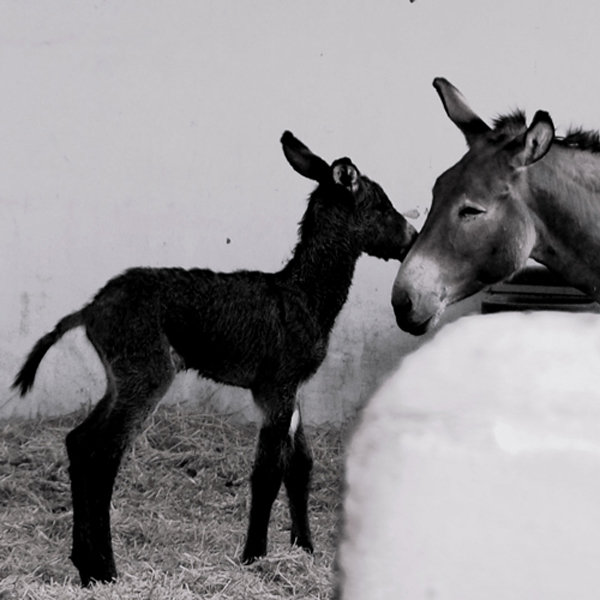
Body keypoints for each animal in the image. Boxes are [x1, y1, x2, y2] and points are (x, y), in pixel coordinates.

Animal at [14, 131, 418, 584]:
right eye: (381, 205)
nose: (412, 236)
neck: (303, 295)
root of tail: (91, 308)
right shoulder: (276, 387)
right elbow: (268, 472)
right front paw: (255, 556)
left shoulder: (289, 389)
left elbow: (300, 465)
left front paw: (304, 548)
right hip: (148, 373)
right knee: (103, 454)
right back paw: (105, 568)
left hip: (121, 379)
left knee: (79, 441)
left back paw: (85, 563)